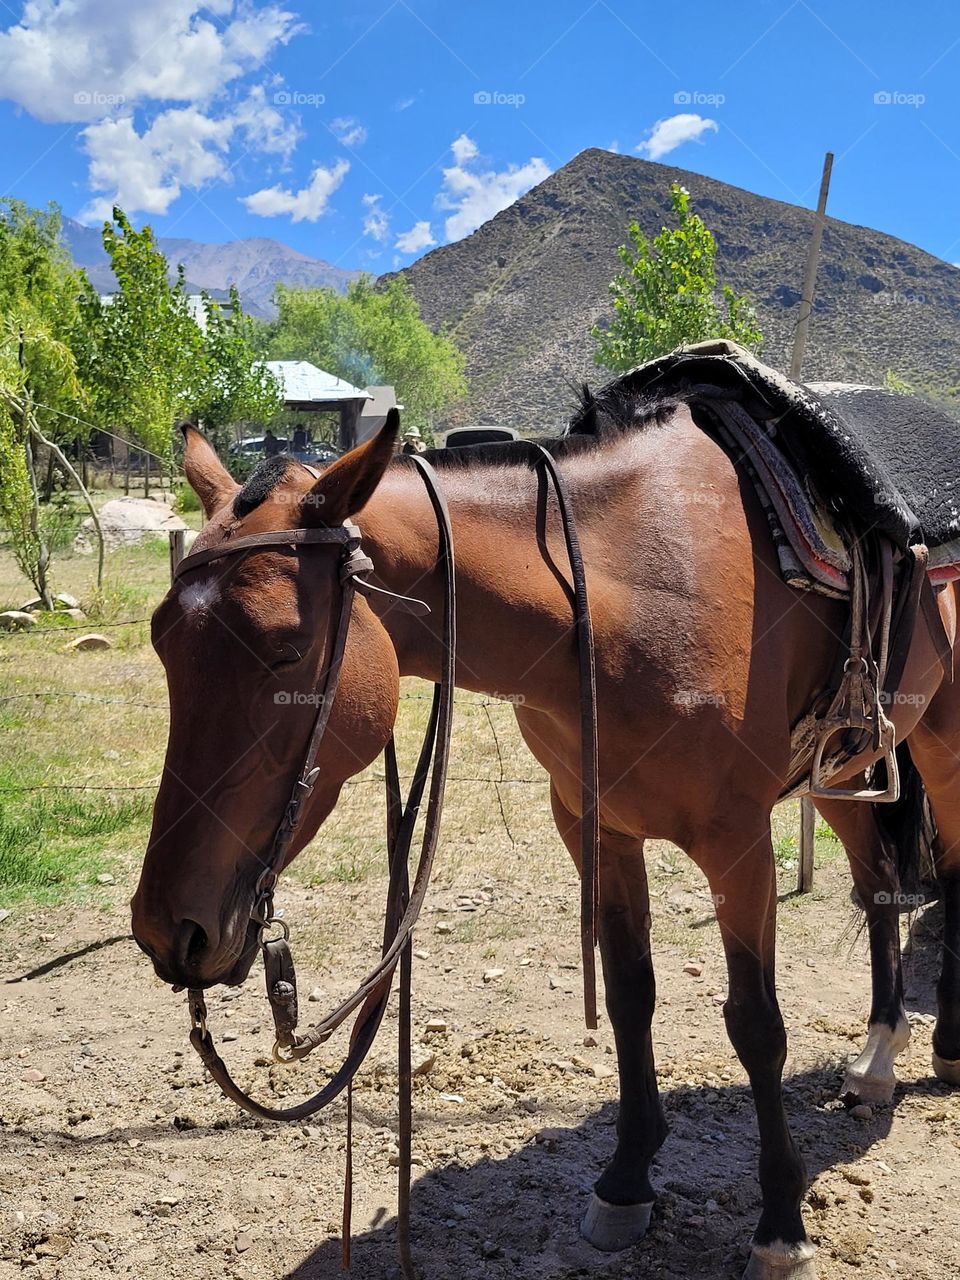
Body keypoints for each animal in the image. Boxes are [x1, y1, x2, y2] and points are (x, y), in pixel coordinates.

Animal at [133, 407, 960, 1280]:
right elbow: (631, 995)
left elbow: (756, 1025)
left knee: (950, 873)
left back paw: (945, 1051)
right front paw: (627, 1180)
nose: (166, 928)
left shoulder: (738, 842)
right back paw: (877, 1060)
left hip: (940, 744)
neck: (614, 601)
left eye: (286, 650)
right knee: (878, 885)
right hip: (847, 766)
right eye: (162, 641)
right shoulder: (597, 827)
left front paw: (781, 1226)